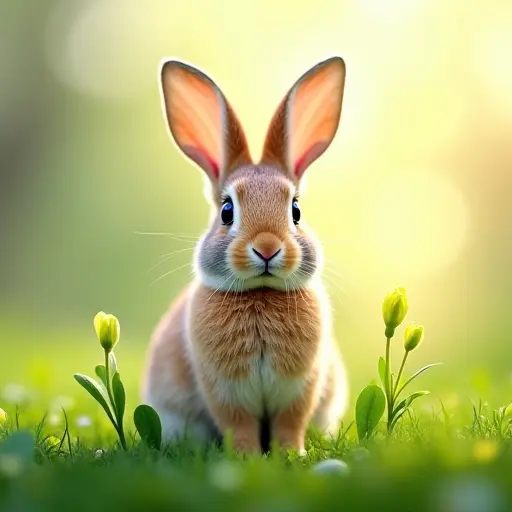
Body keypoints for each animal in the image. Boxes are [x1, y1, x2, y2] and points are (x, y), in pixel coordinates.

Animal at [142, 56, 350, 452]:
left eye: (296, 210)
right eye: (227, 211)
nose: (267, 248)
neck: (260, 293)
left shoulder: (302, 387)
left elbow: (290, 424)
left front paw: (292, 455)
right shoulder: (224, 392)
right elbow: (238, 426)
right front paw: (247, 457)